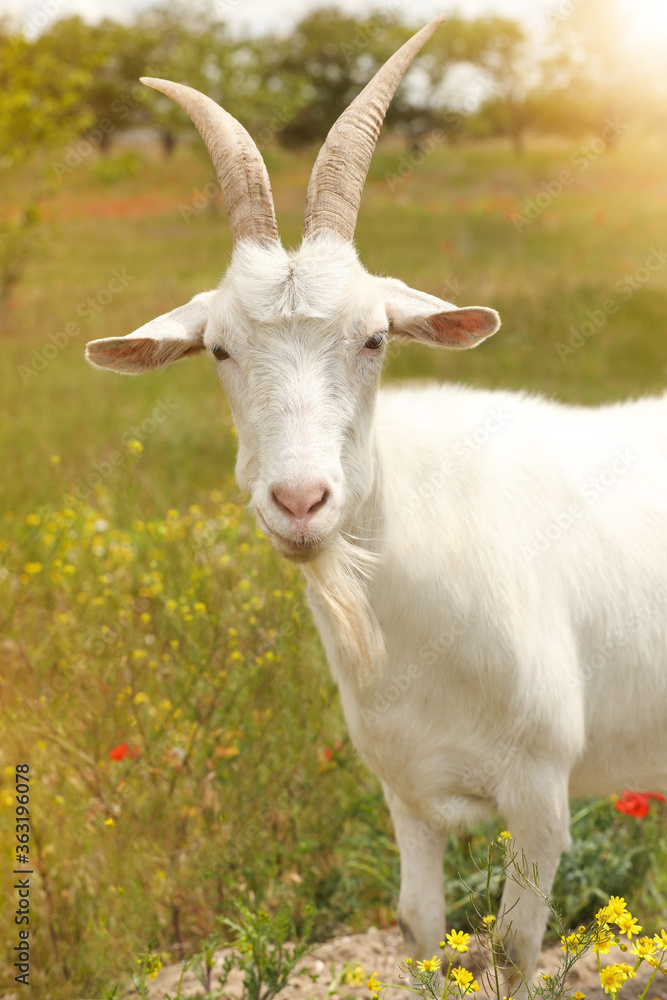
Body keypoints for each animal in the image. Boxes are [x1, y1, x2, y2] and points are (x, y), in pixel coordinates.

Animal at [83, 17, 667, 992]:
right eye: (219, 350)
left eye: (374, 338)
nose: (299, 499)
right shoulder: (404, 787)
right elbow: (417, 929)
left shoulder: (541, 790)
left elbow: (511, 950)